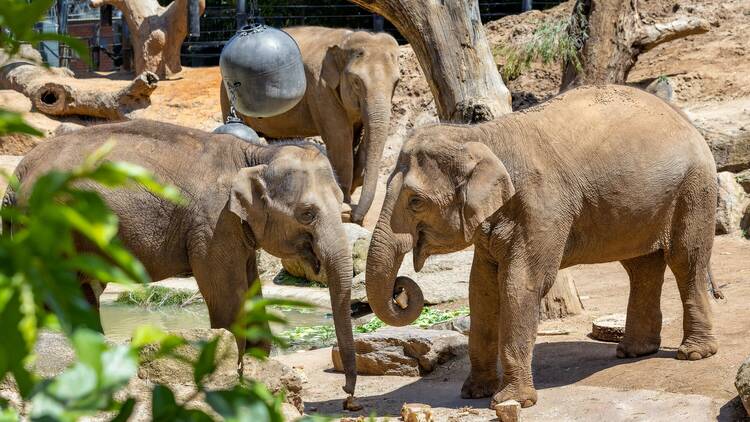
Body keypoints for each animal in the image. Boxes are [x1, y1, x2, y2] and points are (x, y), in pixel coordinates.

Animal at [5, 120, 358, 398]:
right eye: (307, 213)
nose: (347, 394)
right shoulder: (213, 224)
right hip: (48, 226)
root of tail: (18, 174)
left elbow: (251, 292)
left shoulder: (235, 230)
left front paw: (259, 371)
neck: (255, 155)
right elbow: (228, 304)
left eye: (342, 201)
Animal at [220, 25, 402, 224]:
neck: (345, 40)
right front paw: (344, 201)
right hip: (226, 96)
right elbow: (340, 139)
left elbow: (356, 138)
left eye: (397, 82)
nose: (355, 217)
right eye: (356, 82)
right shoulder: (320, 88)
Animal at [364, 85, 724, 408]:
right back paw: (633, 351)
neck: (482, 136)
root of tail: (682, 116)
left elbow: (521, 283)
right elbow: (481, 288)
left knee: (686, 259)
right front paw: (474, 393)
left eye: (415, 201)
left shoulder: (542, 206)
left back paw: (693, 353)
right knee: (641, 266)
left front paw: (512, 402)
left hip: (694, 187)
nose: (400, 287)